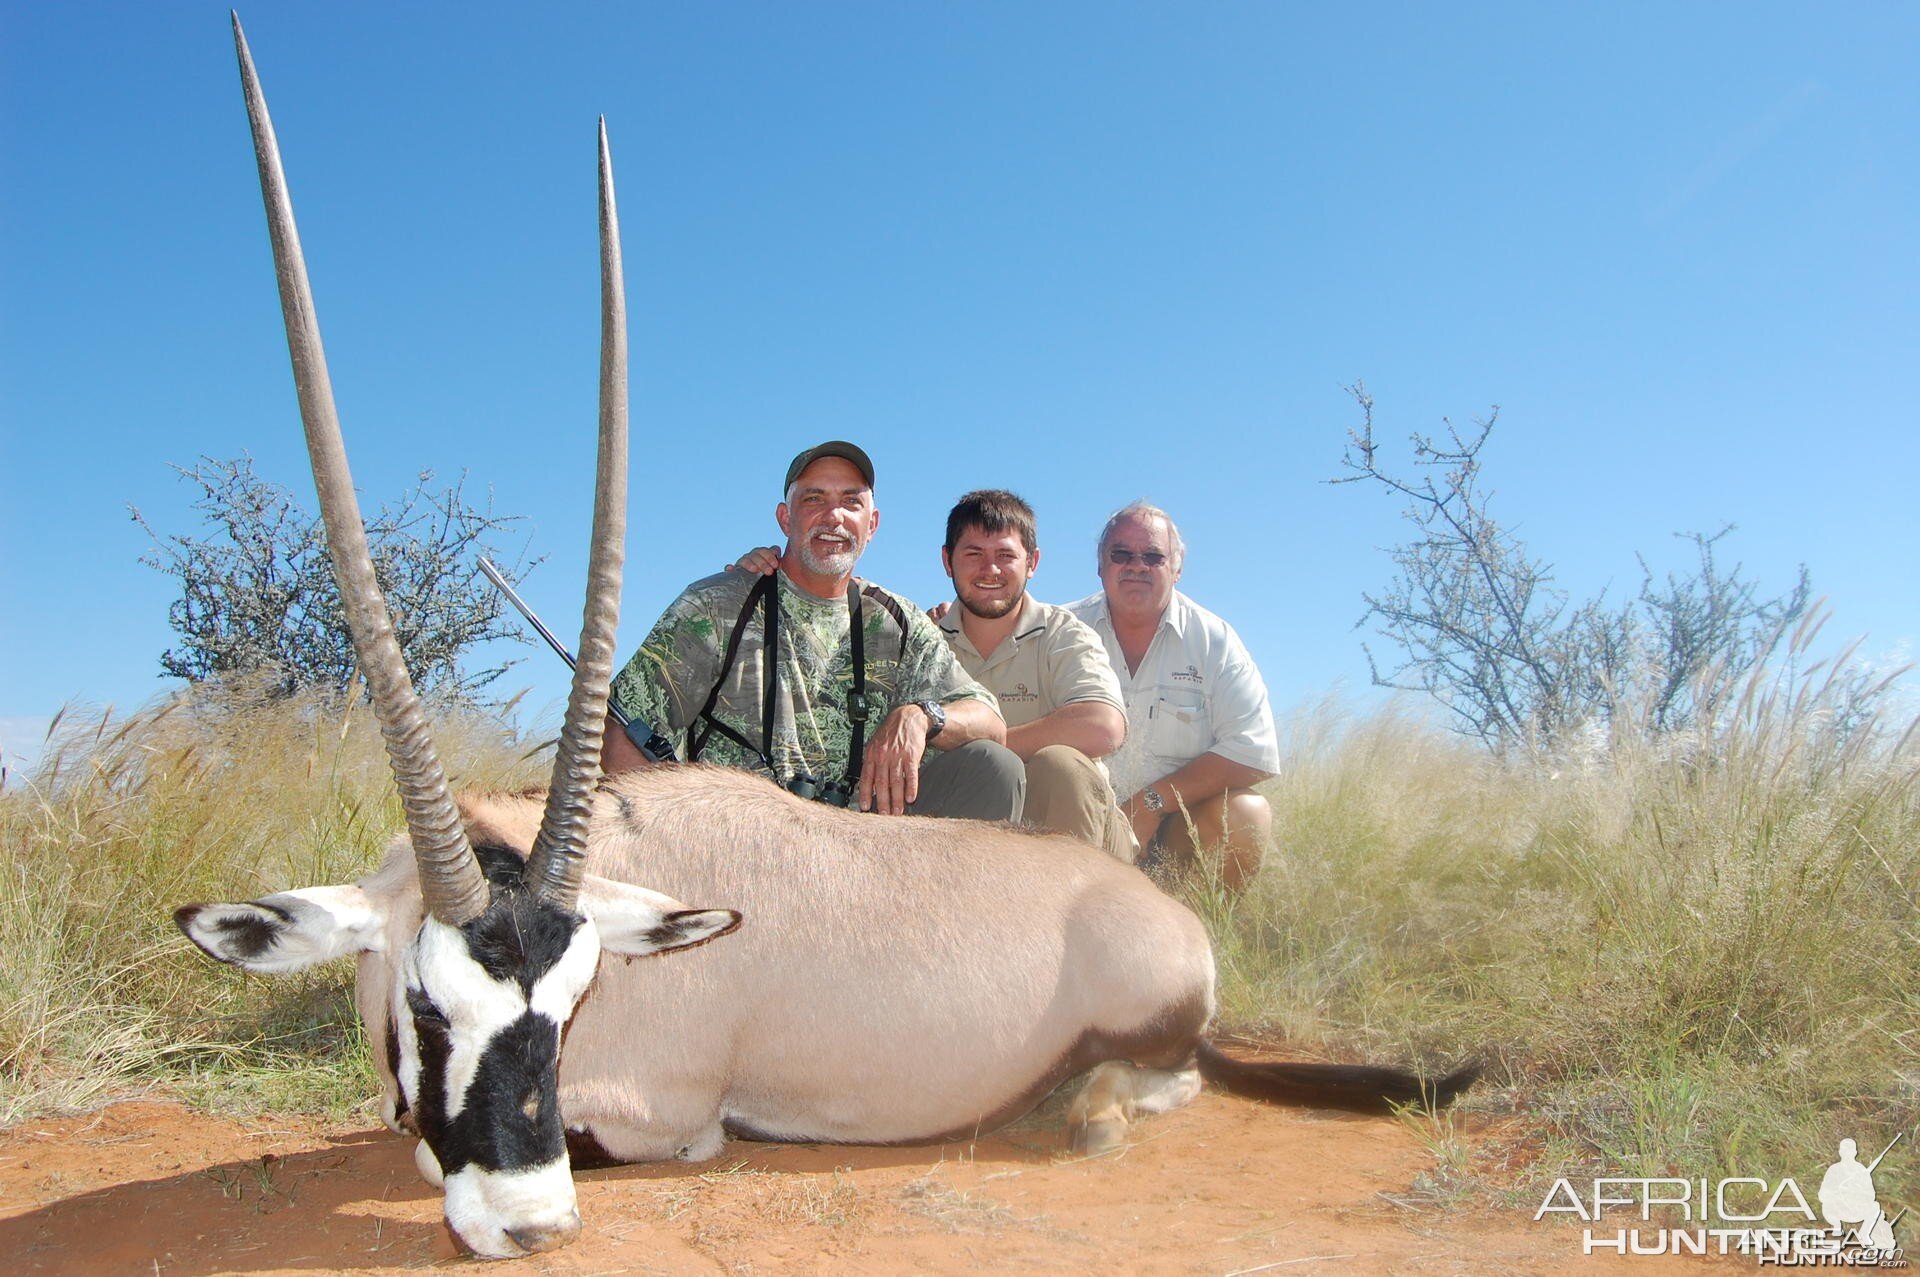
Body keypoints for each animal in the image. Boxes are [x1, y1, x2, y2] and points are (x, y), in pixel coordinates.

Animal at [176, 17, 1466, 1252]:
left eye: (571, 1001)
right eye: (427, 1004)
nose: (530, 1221)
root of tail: (1165, 916)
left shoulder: (658, 1114)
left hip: (1150, 1031)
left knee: (1166, 1079)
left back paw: (1083, 1108)